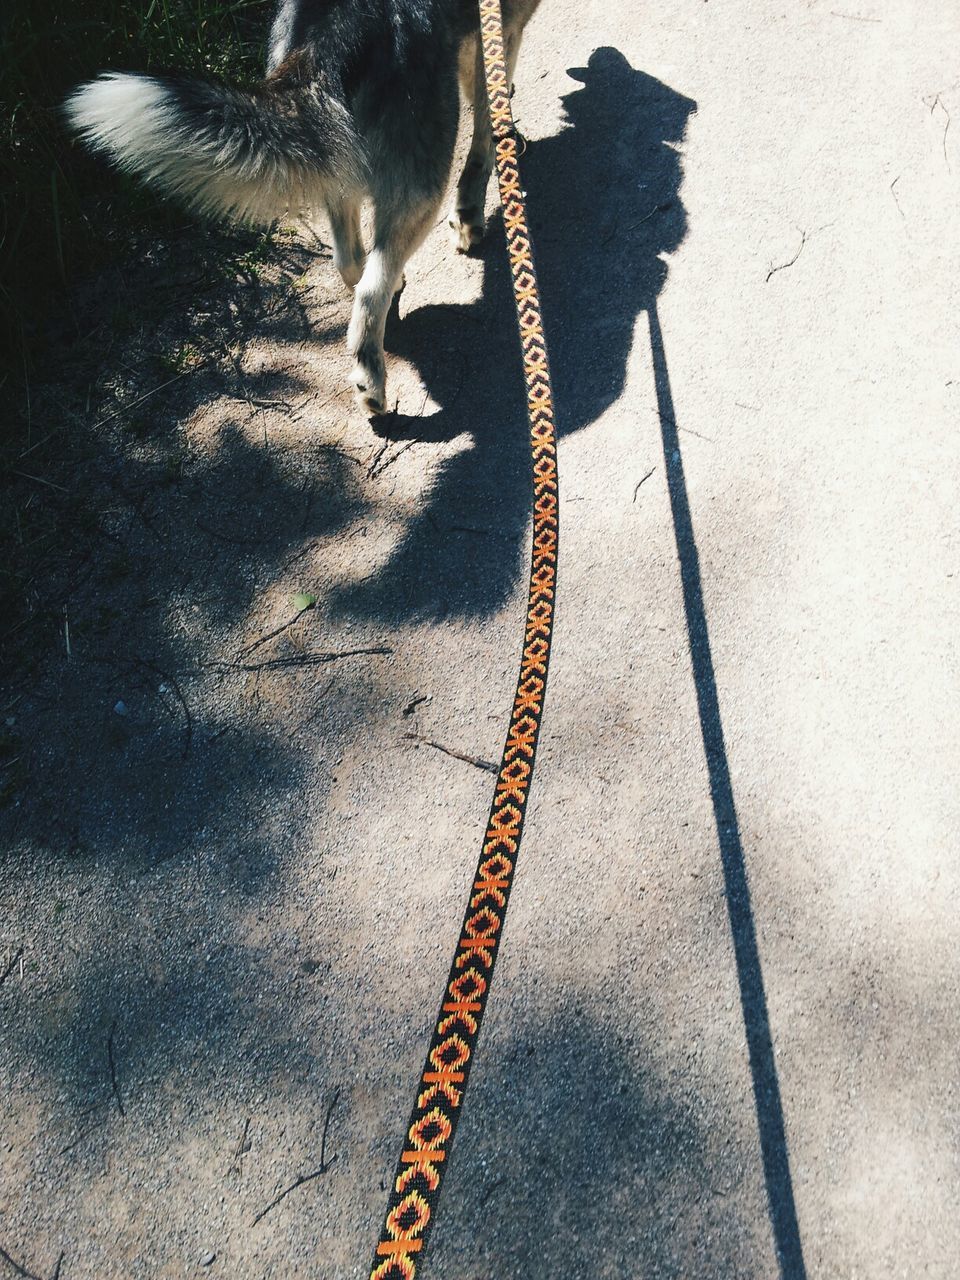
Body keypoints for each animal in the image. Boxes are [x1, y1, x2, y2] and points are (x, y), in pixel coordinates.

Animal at [64, 0, 545, 412]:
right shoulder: (501, 33)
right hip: (418, 182)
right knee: (370, 288)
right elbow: (484, 134)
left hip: (339, 160)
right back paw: (372, 384)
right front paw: (471, 212)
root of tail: (330, 33)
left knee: (352, 261)